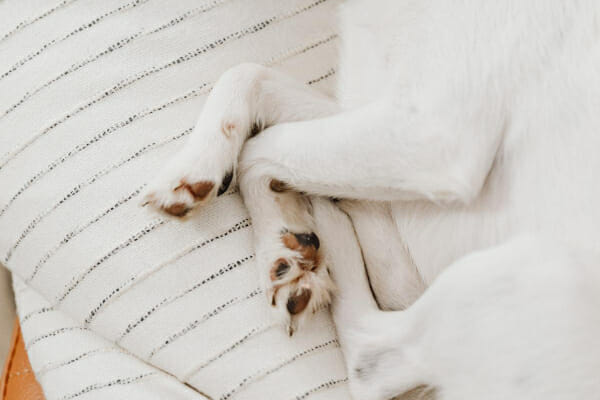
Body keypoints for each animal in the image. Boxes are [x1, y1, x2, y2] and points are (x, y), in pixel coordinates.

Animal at [144, 1, 600, 398]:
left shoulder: (429, 136)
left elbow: (259, 151)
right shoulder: (383, 115)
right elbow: (250, 75)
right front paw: (276, 240)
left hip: (520, 273)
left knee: (370, 361)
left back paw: (335, 232)